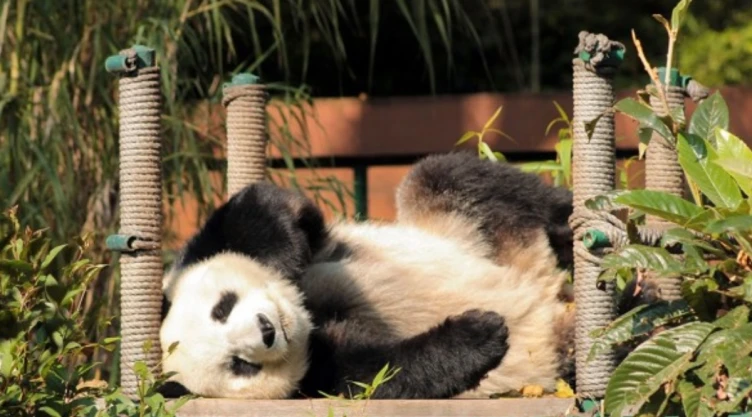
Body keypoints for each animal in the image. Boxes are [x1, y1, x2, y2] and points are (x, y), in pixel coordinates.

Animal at [158, 151, 577, 400]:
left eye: (222, 307)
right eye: (240, 365)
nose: (267, 331)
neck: (308, 317)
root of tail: (549, 288)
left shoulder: (200, 251)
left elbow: (267, 207)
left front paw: (287, 263)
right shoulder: (316, 376)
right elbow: (383, 372)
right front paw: (480, 333)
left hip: (467, 228)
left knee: (450, 177)